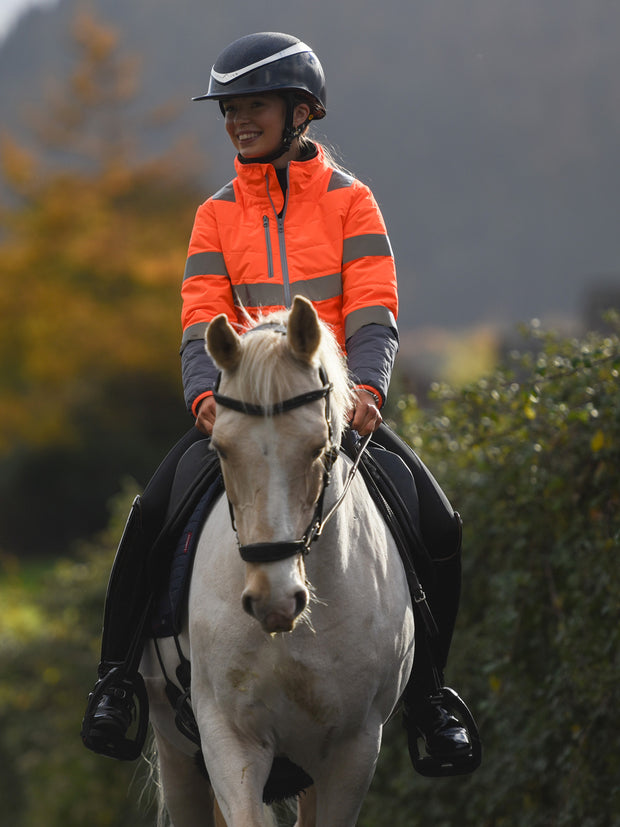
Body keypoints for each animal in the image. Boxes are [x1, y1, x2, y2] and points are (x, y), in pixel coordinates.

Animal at [141, 296, 415, 826]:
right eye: (222, 449)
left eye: (317, 448)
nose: (275, 599)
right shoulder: (228, 738)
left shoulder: (352, 749)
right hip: (175, 748)